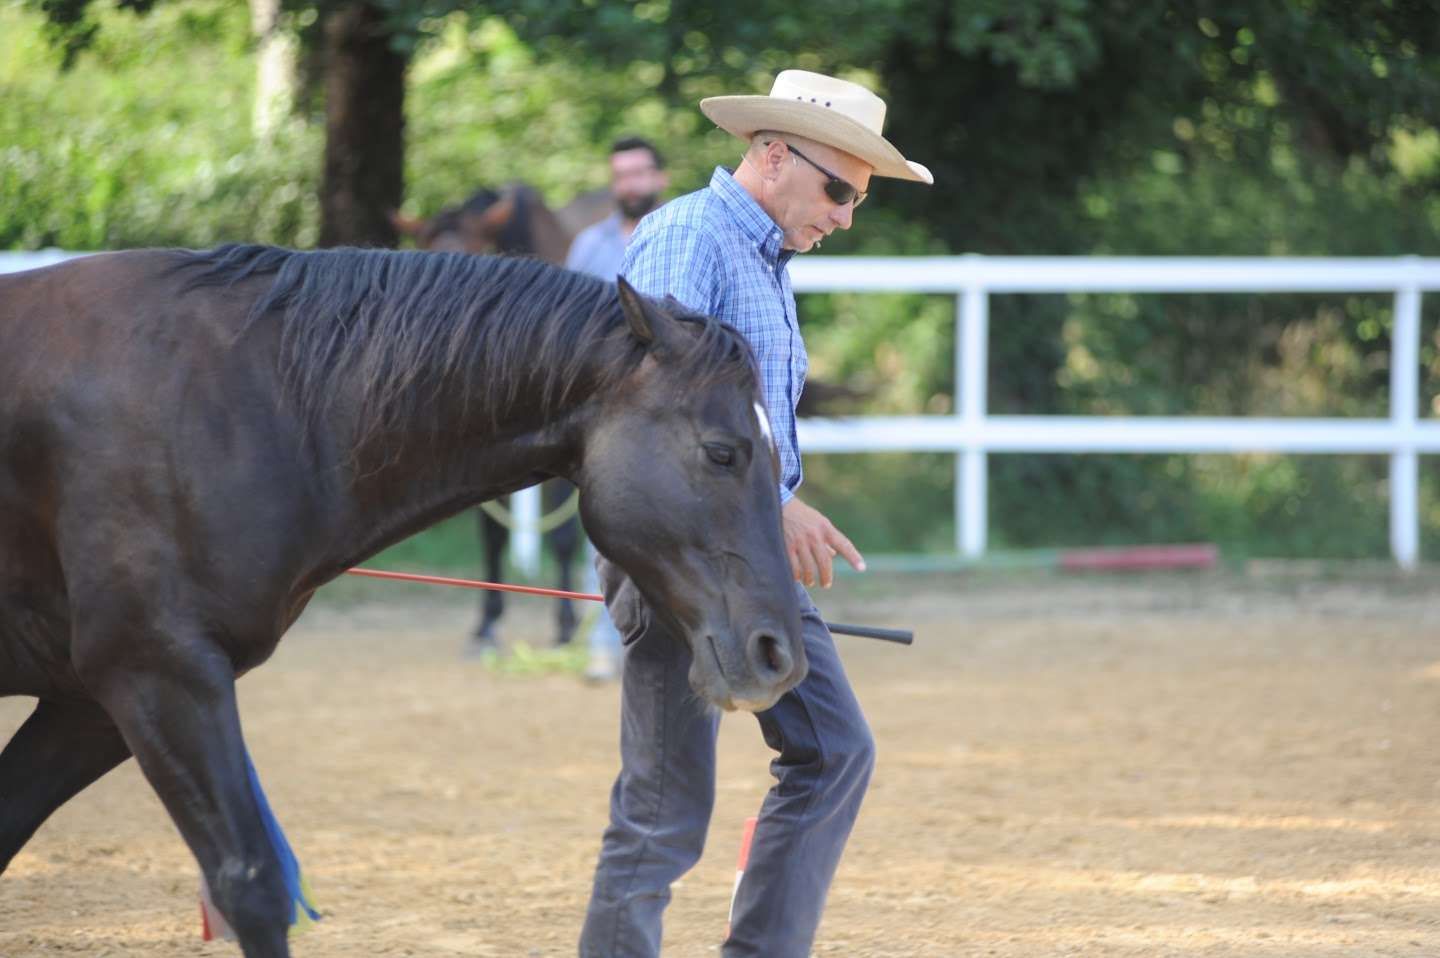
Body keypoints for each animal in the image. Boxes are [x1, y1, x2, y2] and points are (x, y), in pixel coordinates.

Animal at [0, 245, 804, 957]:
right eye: (723, 452)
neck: (242, 402)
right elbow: (253, 883)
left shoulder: (91, 708)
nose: (779, 656)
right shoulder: (158, 675)